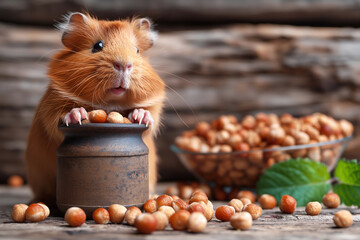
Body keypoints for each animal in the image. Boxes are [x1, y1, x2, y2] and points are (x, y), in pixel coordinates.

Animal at [25, 12, 166, 204]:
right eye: (97, 46)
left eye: (137, 50)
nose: (124, 65)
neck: (109, 104)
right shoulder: (51, 105)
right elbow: (60, 118)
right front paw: (78, 115)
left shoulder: (153, 109)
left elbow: (149, 119)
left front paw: (140, 115)